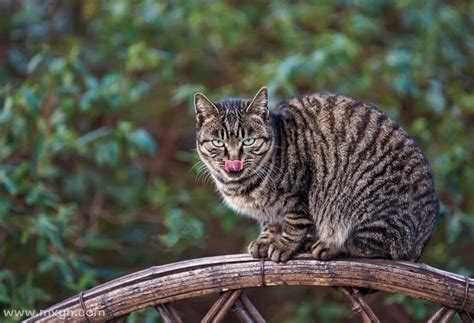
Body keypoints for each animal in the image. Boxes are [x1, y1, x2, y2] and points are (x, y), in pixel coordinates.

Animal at [193, 86, 436, 264]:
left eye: (249, 141)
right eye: (218, 142)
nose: (234, 160)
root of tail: (422, 241)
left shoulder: (299, 195)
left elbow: (294, 224)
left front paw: (282, 245)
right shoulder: (269, 211)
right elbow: (270, 224)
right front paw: (266, 240)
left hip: (371, 209)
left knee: (371, 246)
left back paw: (328, 245)